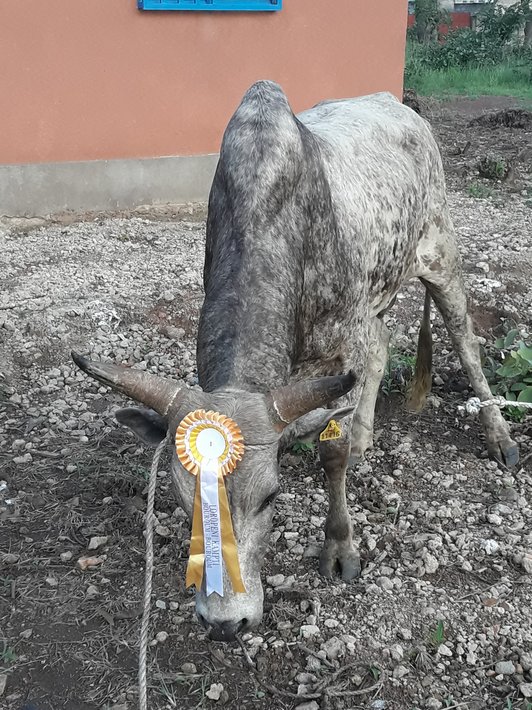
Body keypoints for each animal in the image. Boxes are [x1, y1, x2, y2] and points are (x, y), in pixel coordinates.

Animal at [72, 79, 516, 644]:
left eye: (270, 497)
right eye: (184, 500)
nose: (225, 621)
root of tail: (397, 104)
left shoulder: (343, 342)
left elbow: (332, 451)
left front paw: (341, 548)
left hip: (439, 251)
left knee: (464, 341)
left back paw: (499, 437)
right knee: (380, 348)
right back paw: (366, 434)